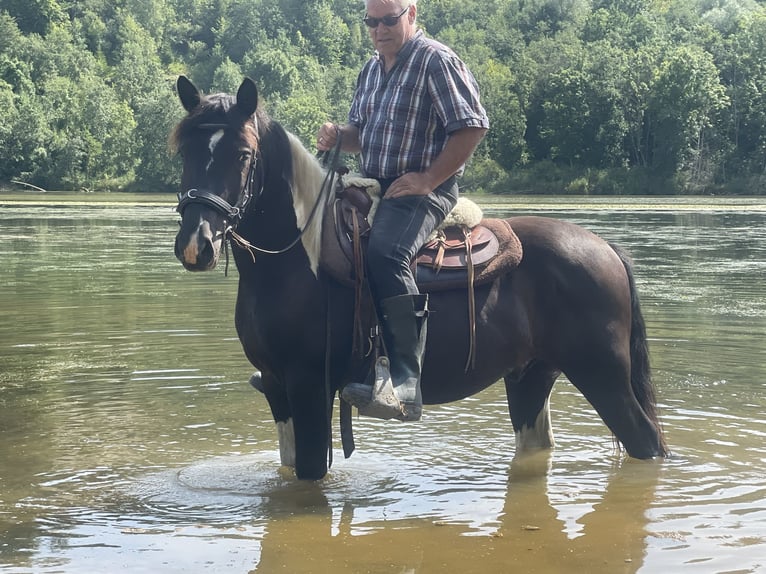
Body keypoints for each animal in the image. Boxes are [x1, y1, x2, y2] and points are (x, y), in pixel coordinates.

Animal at [171, 76, 668, 482]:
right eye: (183, 152)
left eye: (243, 155)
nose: (197, 244)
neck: (298, 258)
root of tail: (606, 249)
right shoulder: (277, 388)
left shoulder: (310, 386)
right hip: (531, 375)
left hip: (603, 375)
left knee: (646, 442)